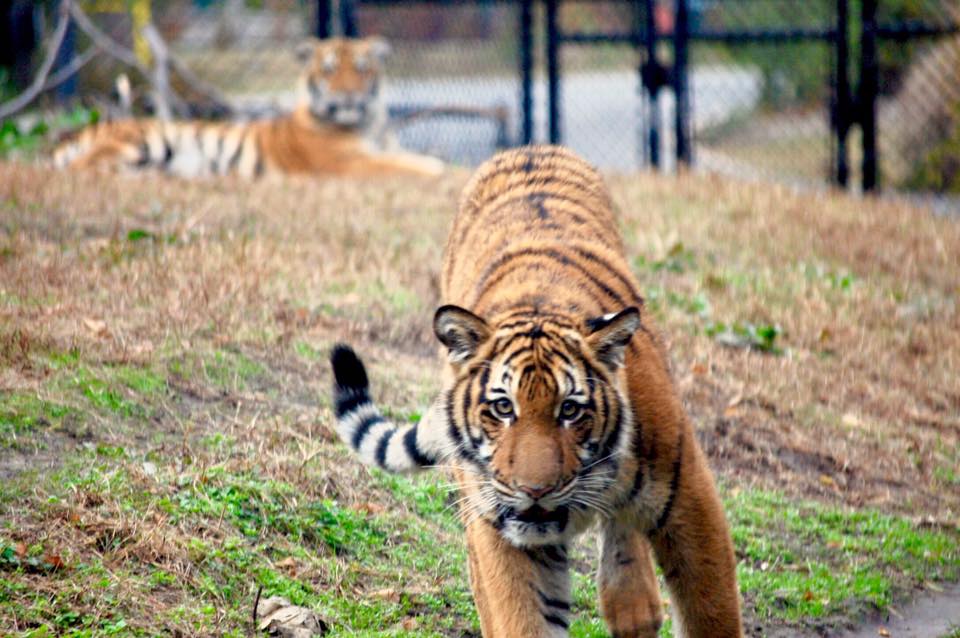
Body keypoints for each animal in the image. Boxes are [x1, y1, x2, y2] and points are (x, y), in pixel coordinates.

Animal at [52, 37, 444, 178]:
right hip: (143, 140)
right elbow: (408, 166)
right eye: (330, 70)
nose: (348, 95)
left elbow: (408, 158)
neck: (367, 123)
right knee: (81, 167)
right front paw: (441, 171)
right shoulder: (343, 162)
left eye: (362, 69)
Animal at [330, 145, 742, 637]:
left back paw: (633, 606)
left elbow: (711, 611)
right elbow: (519, 614)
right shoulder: (498, 527)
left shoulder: (689, 502)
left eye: (570, 410)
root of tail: (529, 148)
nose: (536, 490)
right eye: (502, 408)